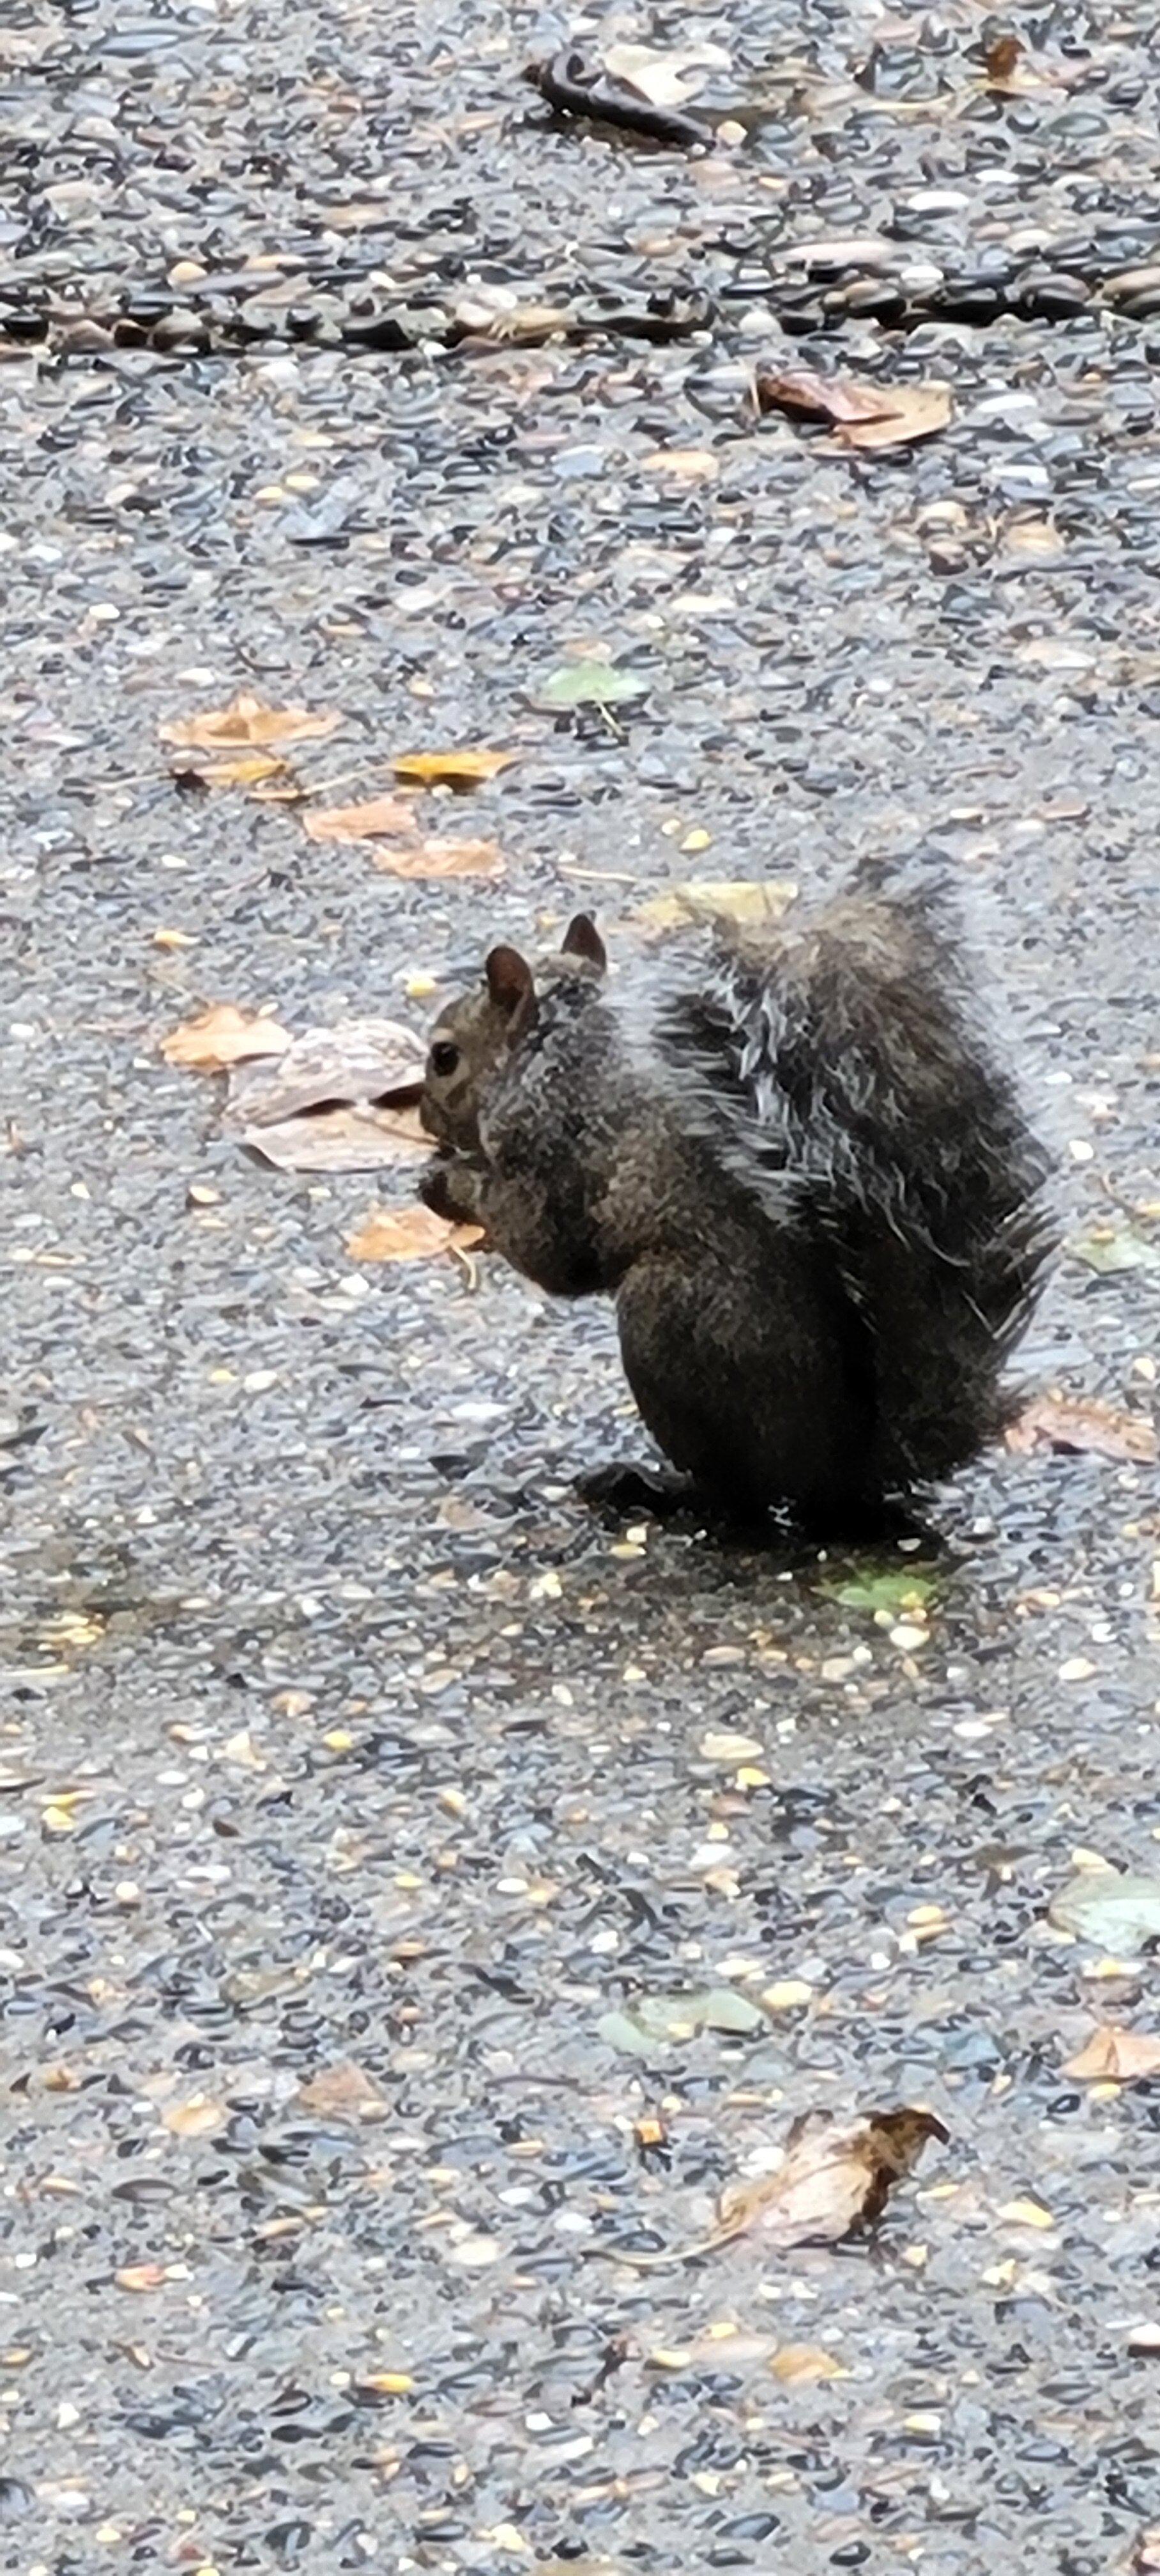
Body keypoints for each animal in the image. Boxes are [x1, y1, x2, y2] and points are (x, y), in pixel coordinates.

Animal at [415, 865, 1051, 1524]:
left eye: (445, 1057)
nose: (423, 1118)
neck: (550, 1048)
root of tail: (848, 1471)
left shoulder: (549, 1139)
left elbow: (550, 1251)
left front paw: (450, 1185)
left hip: (670, 1324)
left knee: (738, 1497)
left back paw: (650, 1485)